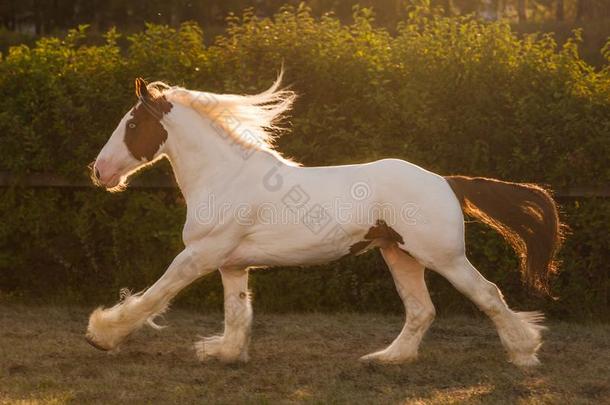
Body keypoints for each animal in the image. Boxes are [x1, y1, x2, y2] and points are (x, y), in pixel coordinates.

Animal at [85, 72, 560, 366]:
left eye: (131, 124)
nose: (99, 172)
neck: (225, 176)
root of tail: (446, 181)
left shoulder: (200, 255)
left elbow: (154, 295)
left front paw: (101, 335)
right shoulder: (232, 264)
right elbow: (236, 313)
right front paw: (225, 354)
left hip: (442, 257)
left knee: (488, 294)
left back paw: (525, 353)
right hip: (399, 255)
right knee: (421, 311)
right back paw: (386, 359)